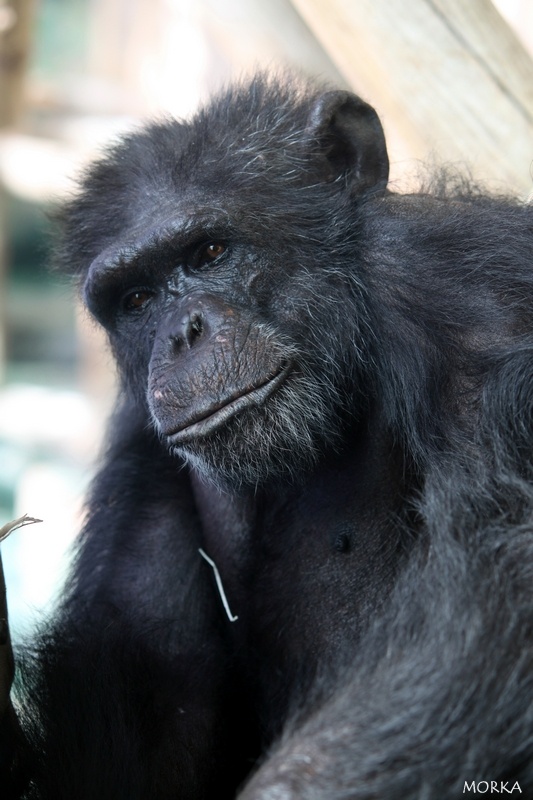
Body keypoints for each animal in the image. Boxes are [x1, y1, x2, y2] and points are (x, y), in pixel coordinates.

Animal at [3, 72, 532, 796]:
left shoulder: (469, 293)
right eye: (137, 299)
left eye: (210, 252)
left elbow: (502, 570)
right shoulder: (141, 452)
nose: (183, 331)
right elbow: (152, 705)